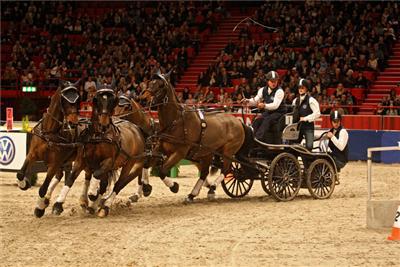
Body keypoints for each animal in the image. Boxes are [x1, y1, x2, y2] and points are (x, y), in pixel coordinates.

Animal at [16, 80, 81, 219]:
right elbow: (20, 173)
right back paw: (49, 202)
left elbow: (43, 188)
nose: (73, 123)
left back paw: (56, 205)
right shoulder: (32, 155)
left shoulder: (54, 164)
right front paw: (24, 184)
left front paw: (39, 208)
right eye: (65, 99)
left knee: (70, 179)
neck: (49, 132)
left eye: (77, 99)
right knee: (61, 175)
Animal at [52, 86, 147, 218]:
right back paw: (96, 205)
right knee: (106, 183)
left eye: (112, 102)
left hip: (130, 164)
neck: (98, 136)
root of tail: (137, 129)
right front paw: (58, 205)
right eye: (98, 101)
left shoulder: (108, 162)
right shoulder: (81, 160)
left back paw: (104, 207)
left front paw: (93, 195)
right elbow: (70, 179)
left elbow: (97, 177)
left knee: (119, 184)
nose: (104, 123)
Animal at [141, 71, 247, 203]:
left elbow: (162, 171)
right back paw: (192, 194)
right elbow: (146, 163)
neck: (175, 122)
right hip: (207, 153)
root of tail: (238, 121)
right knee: (204, 172)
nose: (144, 98)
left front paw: (174, 186)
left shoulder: (179, 152)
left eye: (161, 85)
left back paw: (212, 188)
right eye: (150, 82)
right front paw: (146, 188)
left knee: (226, 169)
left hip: (228, 152)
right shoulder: (160, 148)